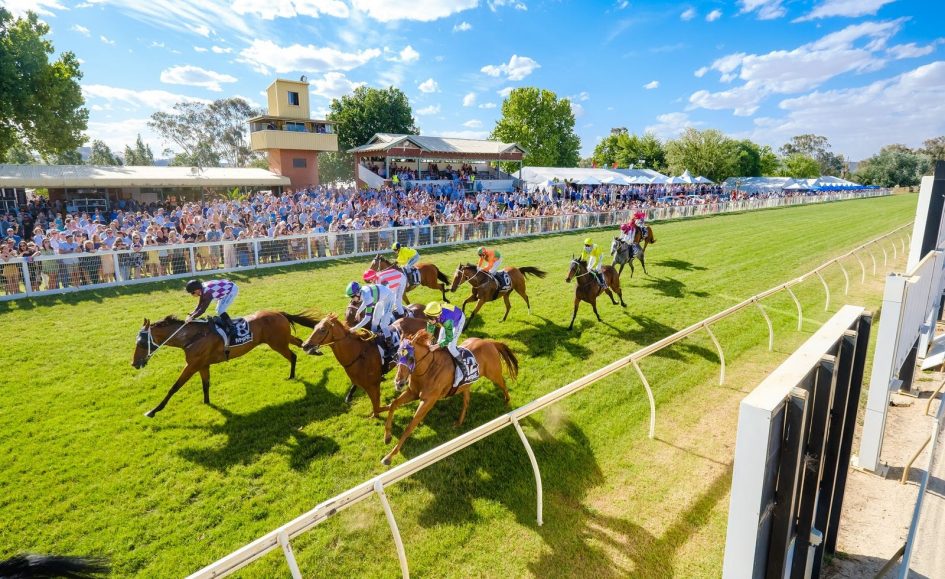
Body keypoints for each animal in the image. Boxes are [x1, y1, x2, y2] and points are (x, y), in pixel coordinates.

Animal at [132, 310, 320, 420]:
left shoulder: (192, 365)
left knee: (293, 355)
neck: (192, 337)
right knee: (299, 343)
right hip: (281, 339)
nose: (134, 363)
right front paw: (207, 403)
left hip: (278, 343)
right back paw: (312, 350)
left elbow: (174, 388)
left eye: (140, 343)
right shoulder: (202, 365)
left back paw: (292, 374)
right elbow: (205, 385)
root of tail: (278, 312)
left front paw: (153, 410)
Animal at [380, 330, 516, 466]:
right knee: (466, 402)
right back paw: (459, 422)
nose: (399, 383)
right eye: (397, 357)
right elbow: (393, 404)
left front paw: (389, 456)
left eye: (411, 358)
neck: (428, 369)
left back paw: (507, 401)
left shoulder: (428, 400)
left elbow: (410, 426)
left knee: (503, 383)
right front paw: (387, 436)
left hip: (493, 374)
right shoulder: (413, 392)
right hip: (466, 385)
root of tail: (490, 342)